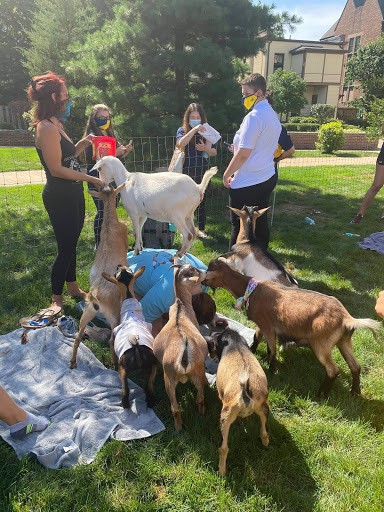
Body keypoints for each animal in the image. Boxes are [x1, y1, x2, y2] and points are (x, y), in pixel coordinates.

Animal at [69, 184, 127, 368]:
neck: (110, 224)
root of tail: (95, 299)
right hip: (114, 317)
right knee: (111, 340)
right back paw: (115, 365)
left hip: (86, 313)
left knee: (78, 336)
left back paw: (72, 362)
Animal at [88, 156, 218, 256]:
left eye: (99, 168)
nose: (101, 184)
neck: (126, 179)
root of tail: (198, 188)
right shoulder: (143, 215)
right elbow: (139, 230)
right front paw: (140, 248)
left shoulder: (133, 213)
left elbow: (135, 232)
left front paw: (135, 252)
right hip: (188, 215)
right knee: (194, 233)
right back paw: (184, 254)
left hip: (177, 215)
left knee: (188, 235)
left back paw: (177, 255)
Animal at [153, 262, 208, 430]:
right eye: (195, 272)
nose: (205, 272)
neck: (181, 305)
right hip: (196, 372)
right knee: (199, 398)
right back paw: (201, 414)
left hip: (170, 379)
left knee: (175, 407)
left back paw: (178, 428)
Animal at [204, 258, 380, 398]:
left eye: (209, 270)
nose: (202, 281)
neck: (252, 291)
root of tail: (347, 319)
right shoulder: (263, 325)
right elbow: (257, 338)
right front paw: (253, 351)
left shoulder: (268, 326)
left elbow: (272, 350)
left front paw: (272, 370)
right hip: (344, 342)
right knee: (355, 366)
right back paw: (355, 391)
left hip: (321, 345)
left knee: (333, 370)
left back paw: (322, 393)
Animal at [208, 328, 268, 476]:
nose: (210, 356)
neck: (233, 342)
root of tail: (246, 391)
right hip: (264, 407)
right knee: (264, 431)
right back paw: (265, 442)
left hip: (226, 414)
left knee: (223, 448)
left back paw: (221, 471)